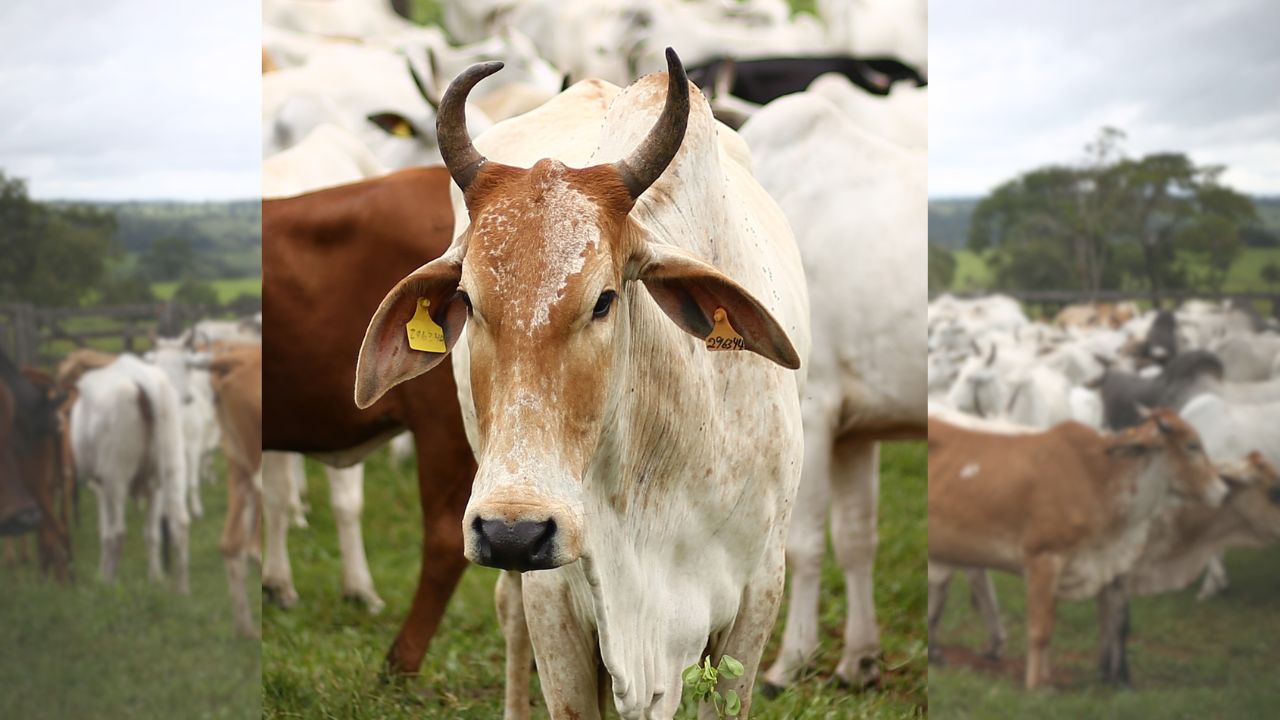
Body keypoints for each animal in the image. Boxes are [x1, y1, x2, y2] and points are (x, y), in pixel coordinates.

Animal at [70, 355, 190, 593]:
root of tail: (141, 378)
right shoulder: (154, 488)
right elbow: (152, 534)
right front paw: (155, 579)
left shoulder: (100, 487)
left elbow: (105, 533)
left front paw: (101, 576)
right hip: (171, 462)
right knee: (178, 523)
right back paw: (182, 591)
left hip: (115, 475)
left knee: (117, 533)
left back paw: (107, 584)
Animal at [354, 50, 809, 718]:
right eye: (467, 300)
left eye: (604, 300)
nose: (513, 530)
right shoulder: (555, 602)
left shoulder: (758, 595)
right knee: (508, 615)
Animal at [738, 91, 926, 692]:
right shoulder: (856, 429)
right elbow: (856, 538)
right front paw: (859, 658)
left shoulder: (814, 412)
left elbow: (803, 544)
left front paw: (789, 661)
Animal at [927, 410, 1227, 689]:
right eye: (1192, 445)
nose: (1223, 491)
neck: (1099, 478)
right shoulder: (1043, 558)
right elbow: (1040, 630)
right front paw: (1035, 685)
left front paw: (1049, 677)